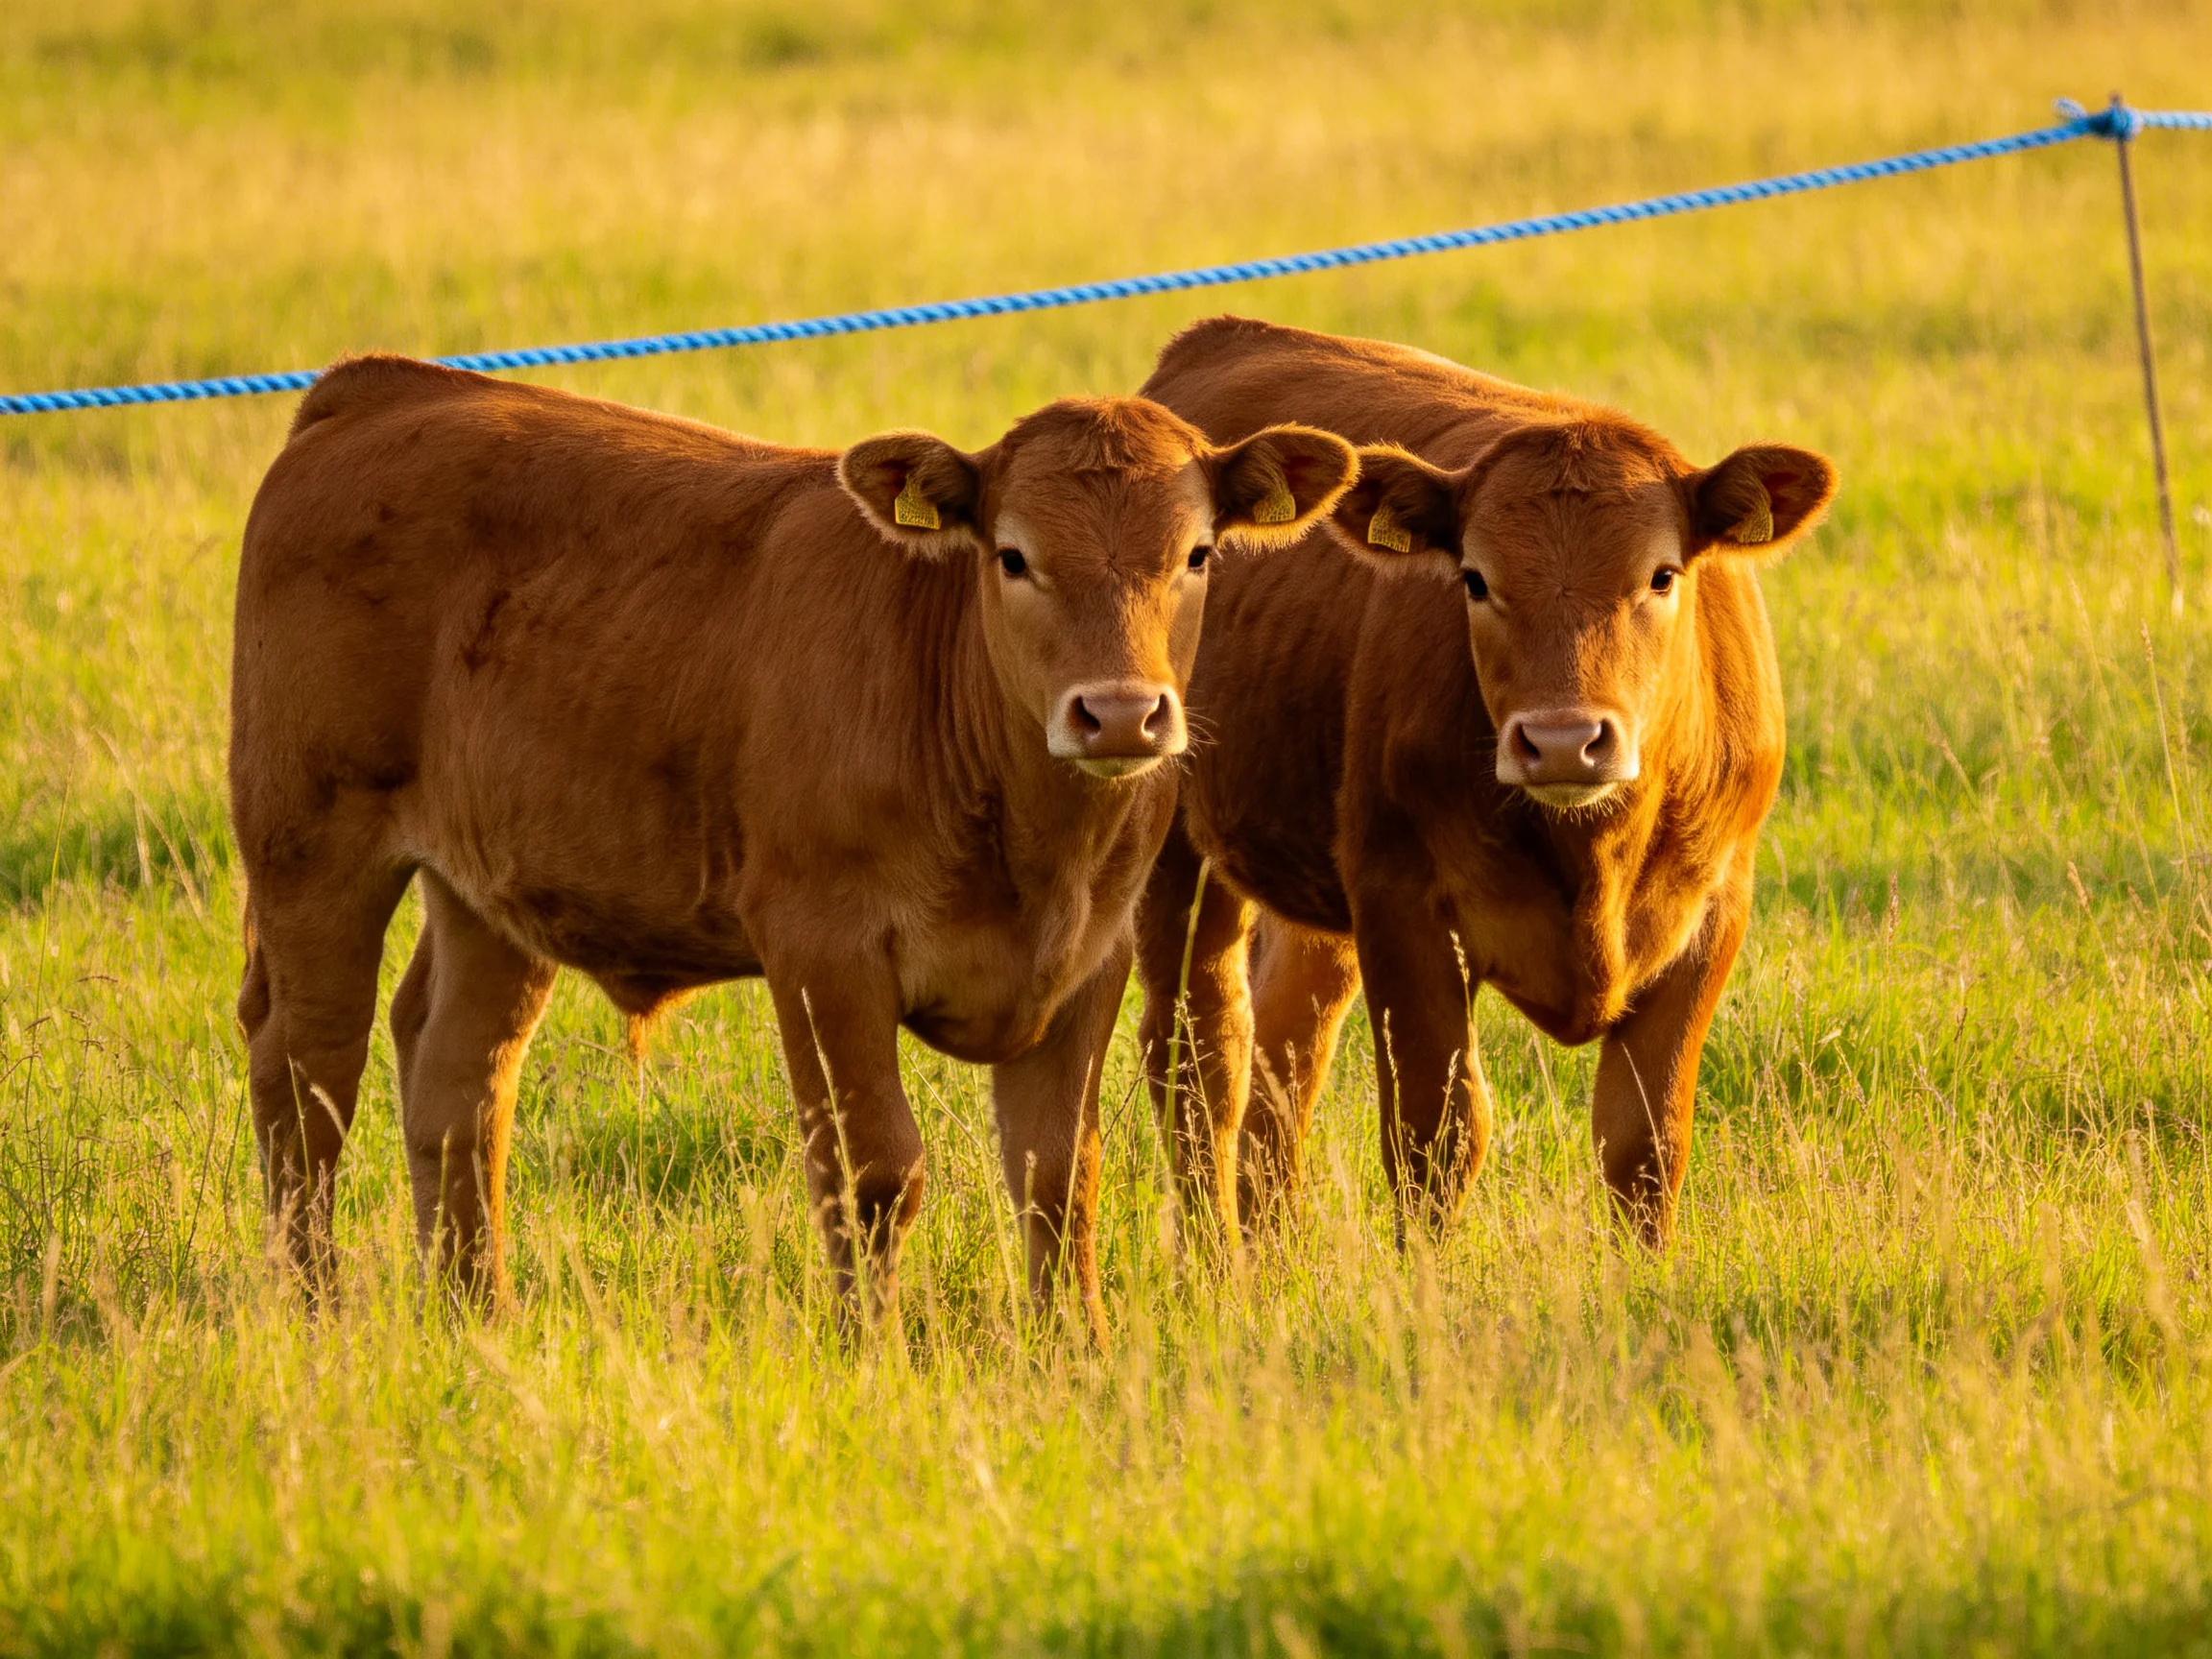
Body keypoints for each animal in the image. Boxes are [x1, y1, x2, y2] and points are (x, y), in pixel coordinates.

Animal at [229, 354, 1355, 1334]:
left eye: (1197, 554)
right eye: (1014, 556)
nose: (1120, 714)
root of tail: (383, 388)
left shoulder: (1089, 959)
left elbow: (1055, 1173)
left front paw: (1074, 1348)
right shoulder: (824, 954)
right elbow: (874, 1173)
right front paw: (875, 1352)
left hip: (492, 891)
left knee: (459, 1082)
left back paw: (478, 1313)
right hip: (311, 849)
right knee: (308, 1075)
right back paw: (316, 1309)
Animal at [1132, 316, 1836, 1249]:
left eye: (1662, 575)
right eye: (1475, 578)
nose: (1565, 741)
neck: (1593, 854)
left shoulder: (1713, 910)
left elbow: (1645, 1148)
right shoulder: (1404, 907)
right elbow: (1437, 1137)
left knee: (1285, 1050)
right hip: (1178, 851)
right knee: (1199, 1055)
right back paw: (1218, 1259)